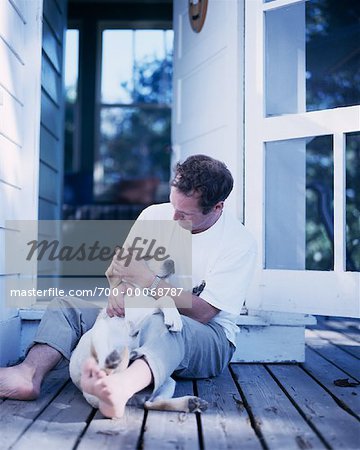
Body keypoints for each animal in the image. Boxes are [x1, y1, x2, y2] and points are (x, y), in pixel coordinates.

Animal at [69, 250, 208, 414]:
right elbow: (165, 298)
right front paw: (175, 317)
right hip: (99, 334)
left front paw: (195, 291)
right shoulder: (133, 322)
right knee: (106, 369)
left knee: (151, 403)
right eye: (146, 256)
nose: (171, 263)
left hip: (167, 382)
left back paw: (191, 403)